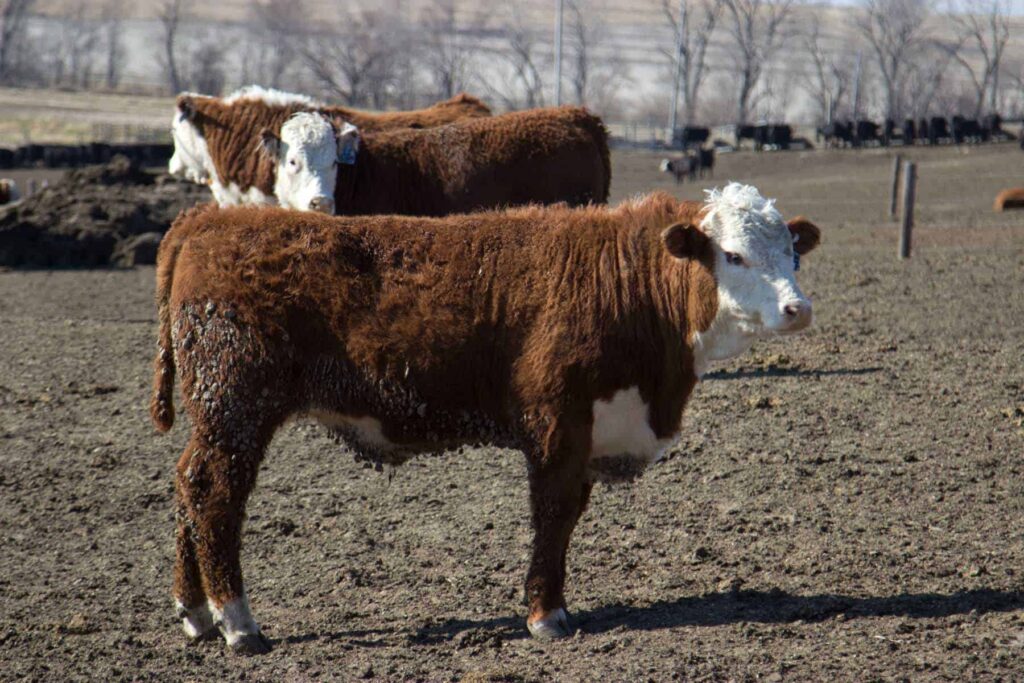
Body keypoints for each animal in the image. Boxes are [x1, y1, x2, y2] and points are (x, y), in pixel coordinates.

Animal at [151, 184, 823, 655]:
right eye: (733, 255)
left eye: (792, 254)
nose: (799, 308)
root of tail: (209, 220)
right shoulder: (556, 424)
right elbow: (554, 513)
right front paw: (546, 615)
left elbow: (568, 513)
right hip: (237, 409)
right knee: (217, 496)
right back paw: (239, 623)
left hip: (217, 416)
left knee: (188, 484)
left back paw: (196, 615)